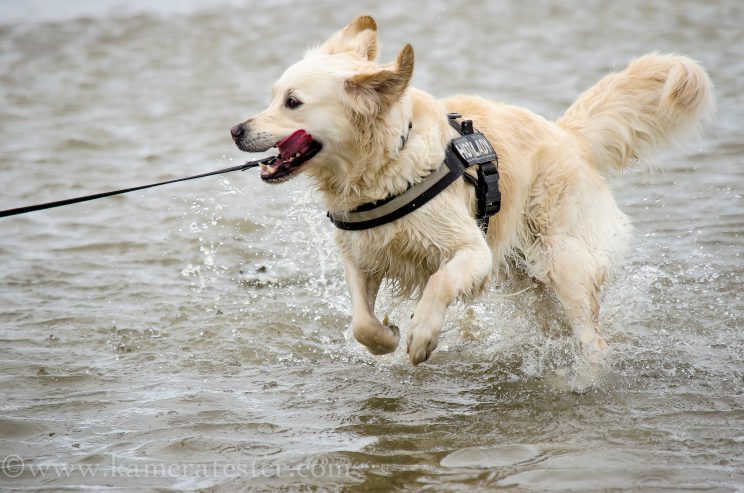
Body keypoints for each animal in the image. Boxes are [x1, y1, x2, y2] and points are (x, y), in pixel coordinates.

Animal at [231, 15, 716, 366]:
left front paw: (421, 334)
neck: (386, 162)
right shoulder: (360, 255)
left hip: (562, 258)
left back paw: (588, 371)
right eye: (273, 96)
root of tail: (569, 135)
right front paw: (387, 338)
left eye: (293, 102)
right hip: (529, 277)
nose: (236, 130)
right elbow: (360, 323)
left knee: (589, 332)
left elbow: (440, 282)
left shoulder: (473, 250)